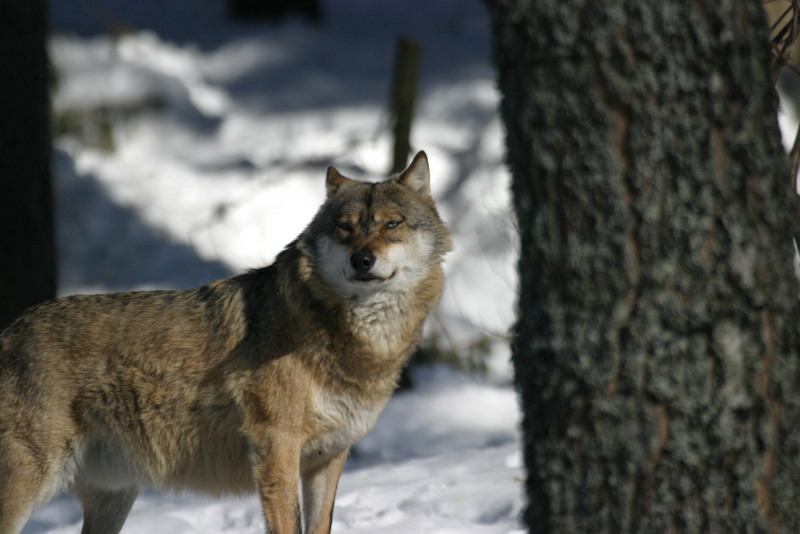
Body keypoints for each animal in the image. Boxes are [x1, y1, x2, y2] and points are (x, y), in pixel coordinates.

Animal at [0, 151, 450, 534]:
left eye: (392, 225)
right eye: (345, 228)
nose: (362, 260)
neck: (358, 344)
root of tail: (9, 330)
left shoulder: (329, 457)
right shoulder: (276, 447)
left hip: (114, 497)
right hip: (32, 485)